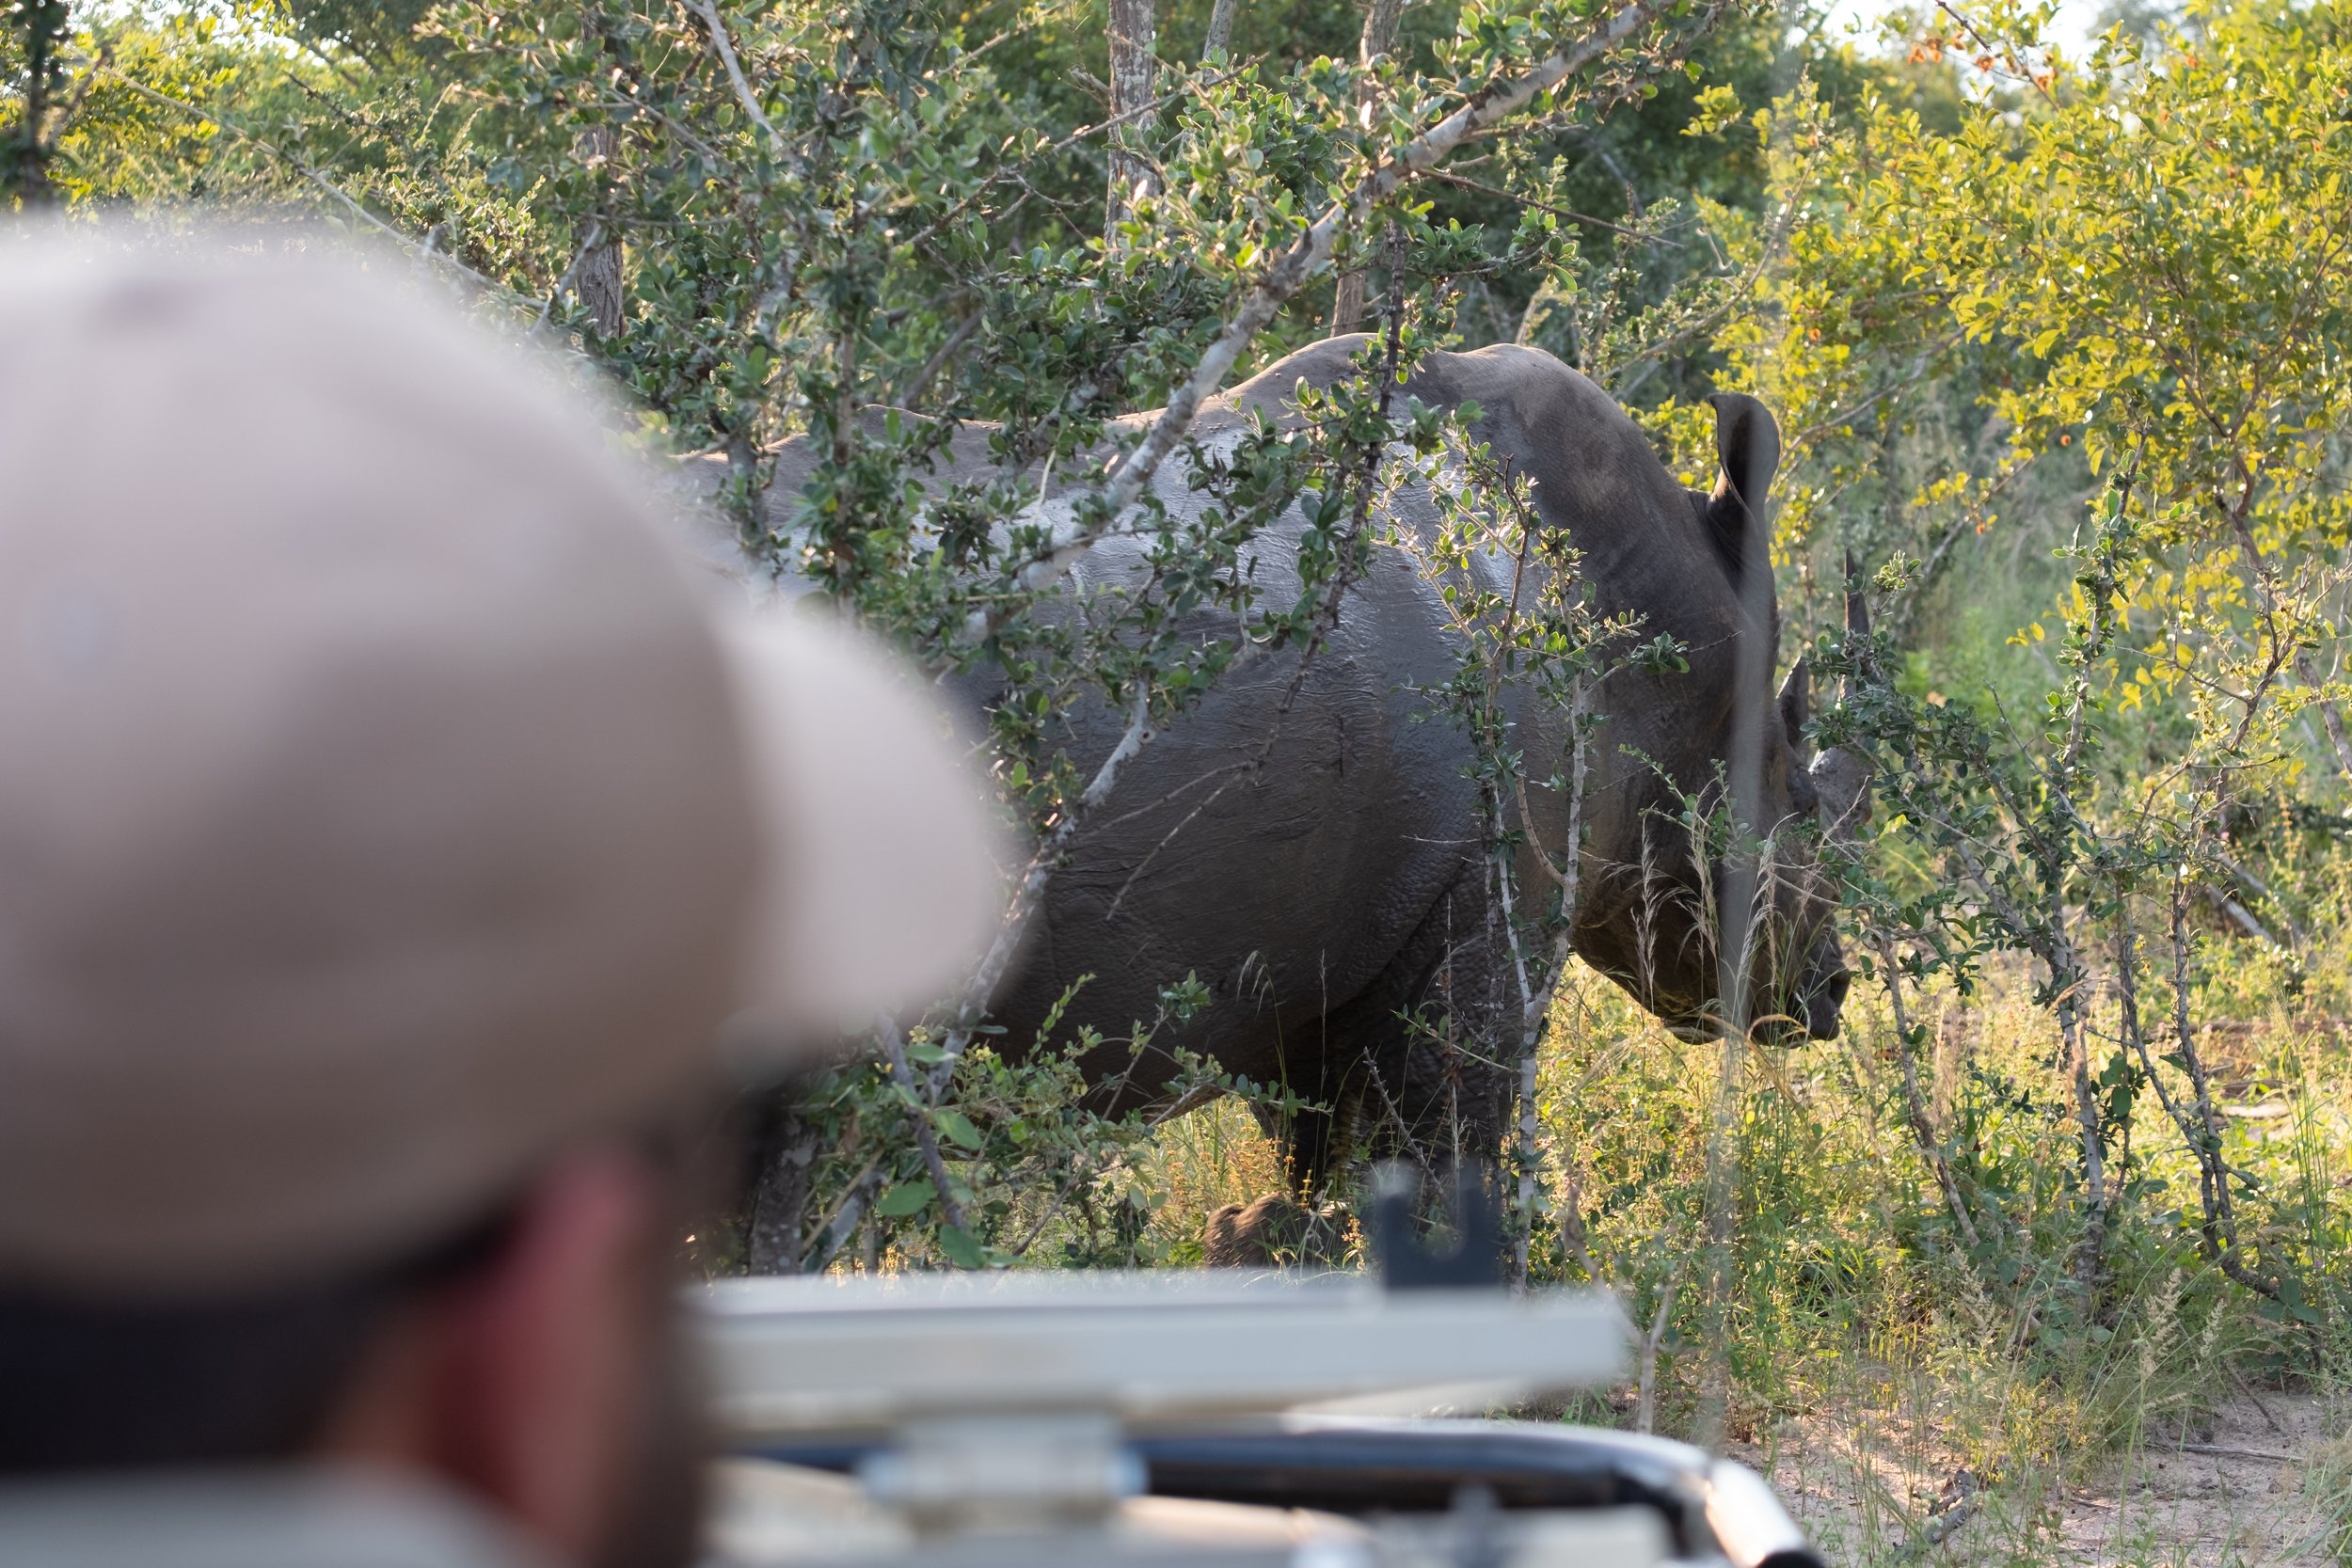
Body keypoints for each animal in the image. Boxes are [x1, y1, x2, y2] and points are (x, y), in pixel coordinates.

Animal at [703, 337, 1861, 1188]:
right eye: (1798, 796)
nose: (1829, 988)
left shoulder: (1308, 966)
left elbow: (1309, 1193)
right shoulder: (1483, 912)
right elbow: (1438, 1175)